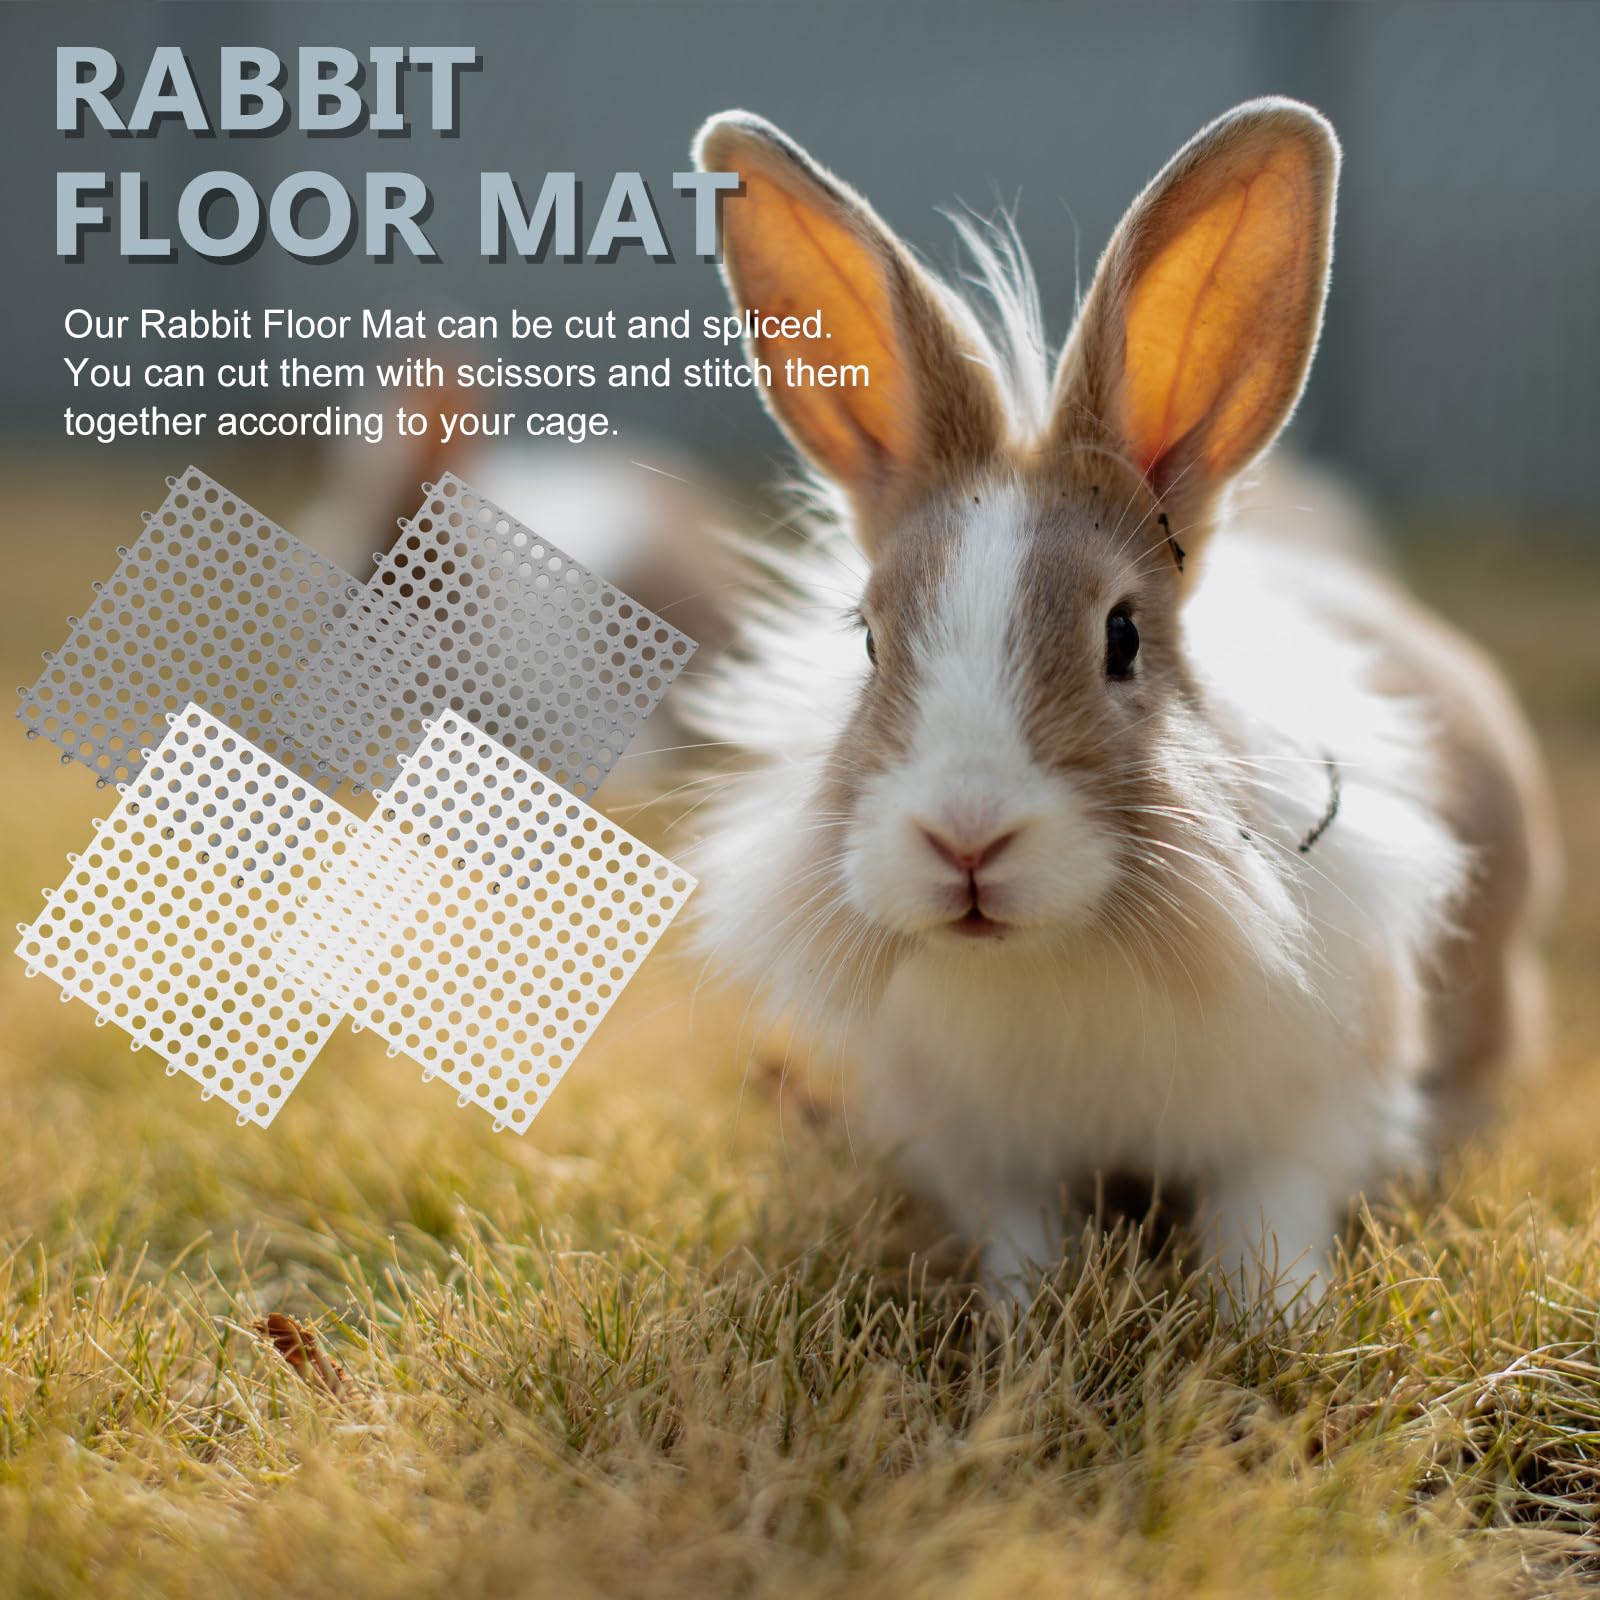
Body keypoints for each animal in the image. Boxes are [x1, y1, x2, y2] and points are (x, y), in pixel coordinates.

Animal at [683, 97, 1560, 1305]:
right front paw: (1023, 1318)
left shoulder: (1311, 1113)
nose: (966, 840)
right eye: (866, 639)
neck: (1053, 953)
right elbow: (1018, 1236)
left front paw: (1273, 1318)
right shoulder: (981, 1151)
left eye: (1123, 637)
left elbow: (1268, 1215)